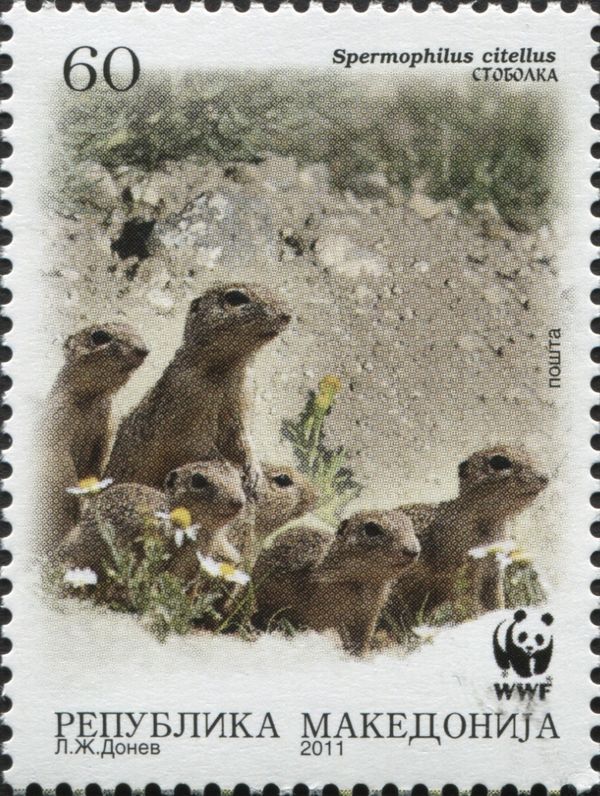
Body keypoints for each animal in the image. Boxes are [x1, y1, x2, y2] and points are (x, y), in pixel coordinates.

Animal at [37, 323, 148, 555]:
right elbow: (63, 468)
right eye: (99, 336)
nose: (144, 349)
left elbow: (99, 462)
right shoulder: (56, 424)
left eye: (135, 330)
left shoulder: (108, 426)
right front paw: (82, 504)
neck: (92, 399)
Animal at [104, 283, 291, 494]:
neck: (227, 370)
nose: (288, 313)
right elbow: (200, 449)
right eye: (236, 297)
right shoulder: (188, 407)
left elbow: (245, 441)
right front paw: (232, 468)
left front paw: (255, 473)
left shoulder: (243, 402)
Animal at [253, 509, 420, 655]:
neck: (362, 583)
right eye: (371, 529)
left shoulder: (368, 617)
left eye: (410, 525)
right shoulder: (329, 613)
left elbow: (362, 642)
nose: (413, 550)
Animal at [386, 445, 549, 628]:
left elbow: (497, 601)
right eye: (499, 462)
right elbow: (469, 605)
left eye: (530, 453)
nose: (545, 477)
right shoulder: (462, 572)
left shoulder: (494, 572)